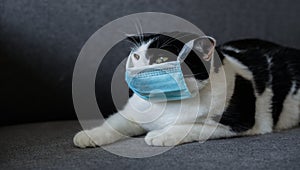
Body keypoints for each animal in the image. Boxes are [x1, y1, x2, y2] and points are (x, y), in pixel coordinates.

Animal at [72, 31, 300, 147]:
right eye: (136, 56)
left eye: (161, 59)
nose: (137, 69)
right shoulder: (133, 114)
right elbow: (112, 123)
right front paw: (88, 136)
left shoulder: (238, 121)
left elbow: (191, 126)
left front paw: (160, 135)